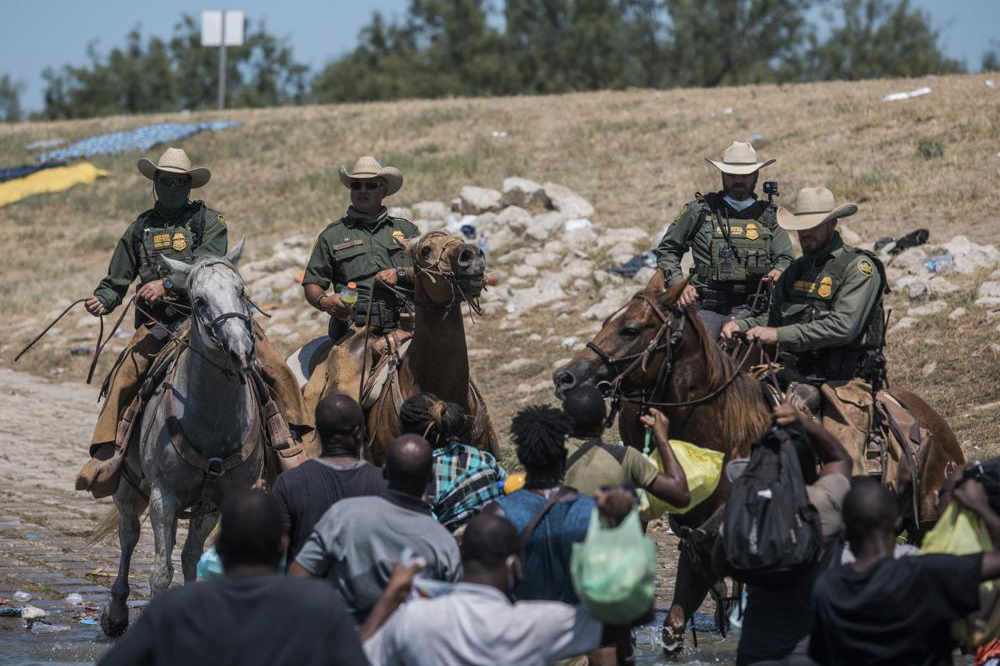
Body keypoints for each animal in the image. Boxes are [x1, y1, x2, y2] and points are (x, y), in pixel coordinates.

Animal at [101, 241, 266, 636]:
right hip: (127, 487)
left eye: (241, 290)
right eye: (199, 300)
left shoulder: (221, 501)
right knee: (129, 535)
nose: (242, 351)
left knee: (188, 554)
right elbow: (161, 573)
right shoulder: (164, 496)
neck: (213, 420)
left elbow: (194, 557)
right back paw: (116, 613)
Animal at [552, 272, 964, 652]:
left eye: (630, 329)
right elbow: (674, 626)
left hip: (927, 525)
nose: (564, 377)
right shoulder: (697, 552)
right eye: (607, 321)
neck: (726, 439)